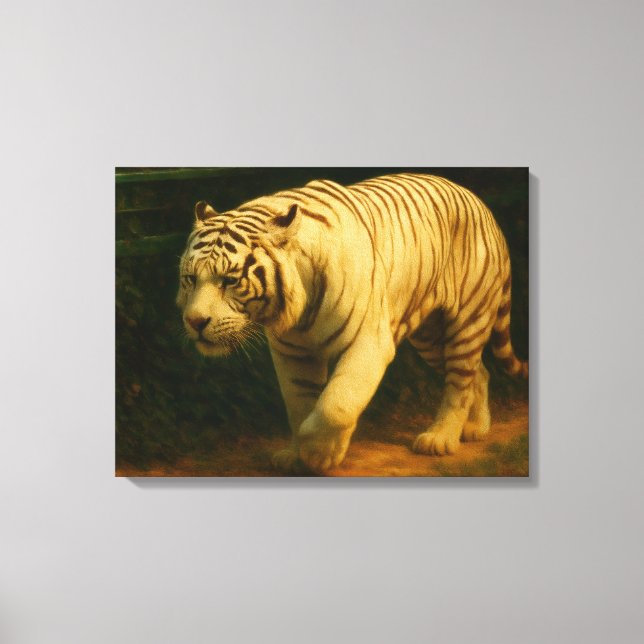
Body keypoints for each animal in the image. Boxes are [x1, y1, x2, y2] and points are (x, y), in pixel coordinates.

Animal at [176, 173, 528, 473]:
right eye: (190, 278)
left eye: (230, 280)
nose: (195, 321)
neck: (298, 306)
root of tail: (479, 202)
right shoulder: (292, 352)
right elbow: (298, 404)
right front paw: (296, 455)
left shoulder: (369, 341)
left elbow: (336, 403)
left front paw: (321, 454)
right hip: (429, 335)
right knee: (478, 372)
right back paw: (475, 429)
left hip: (468, 319)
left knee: (460, 380)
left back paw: (440, 439)